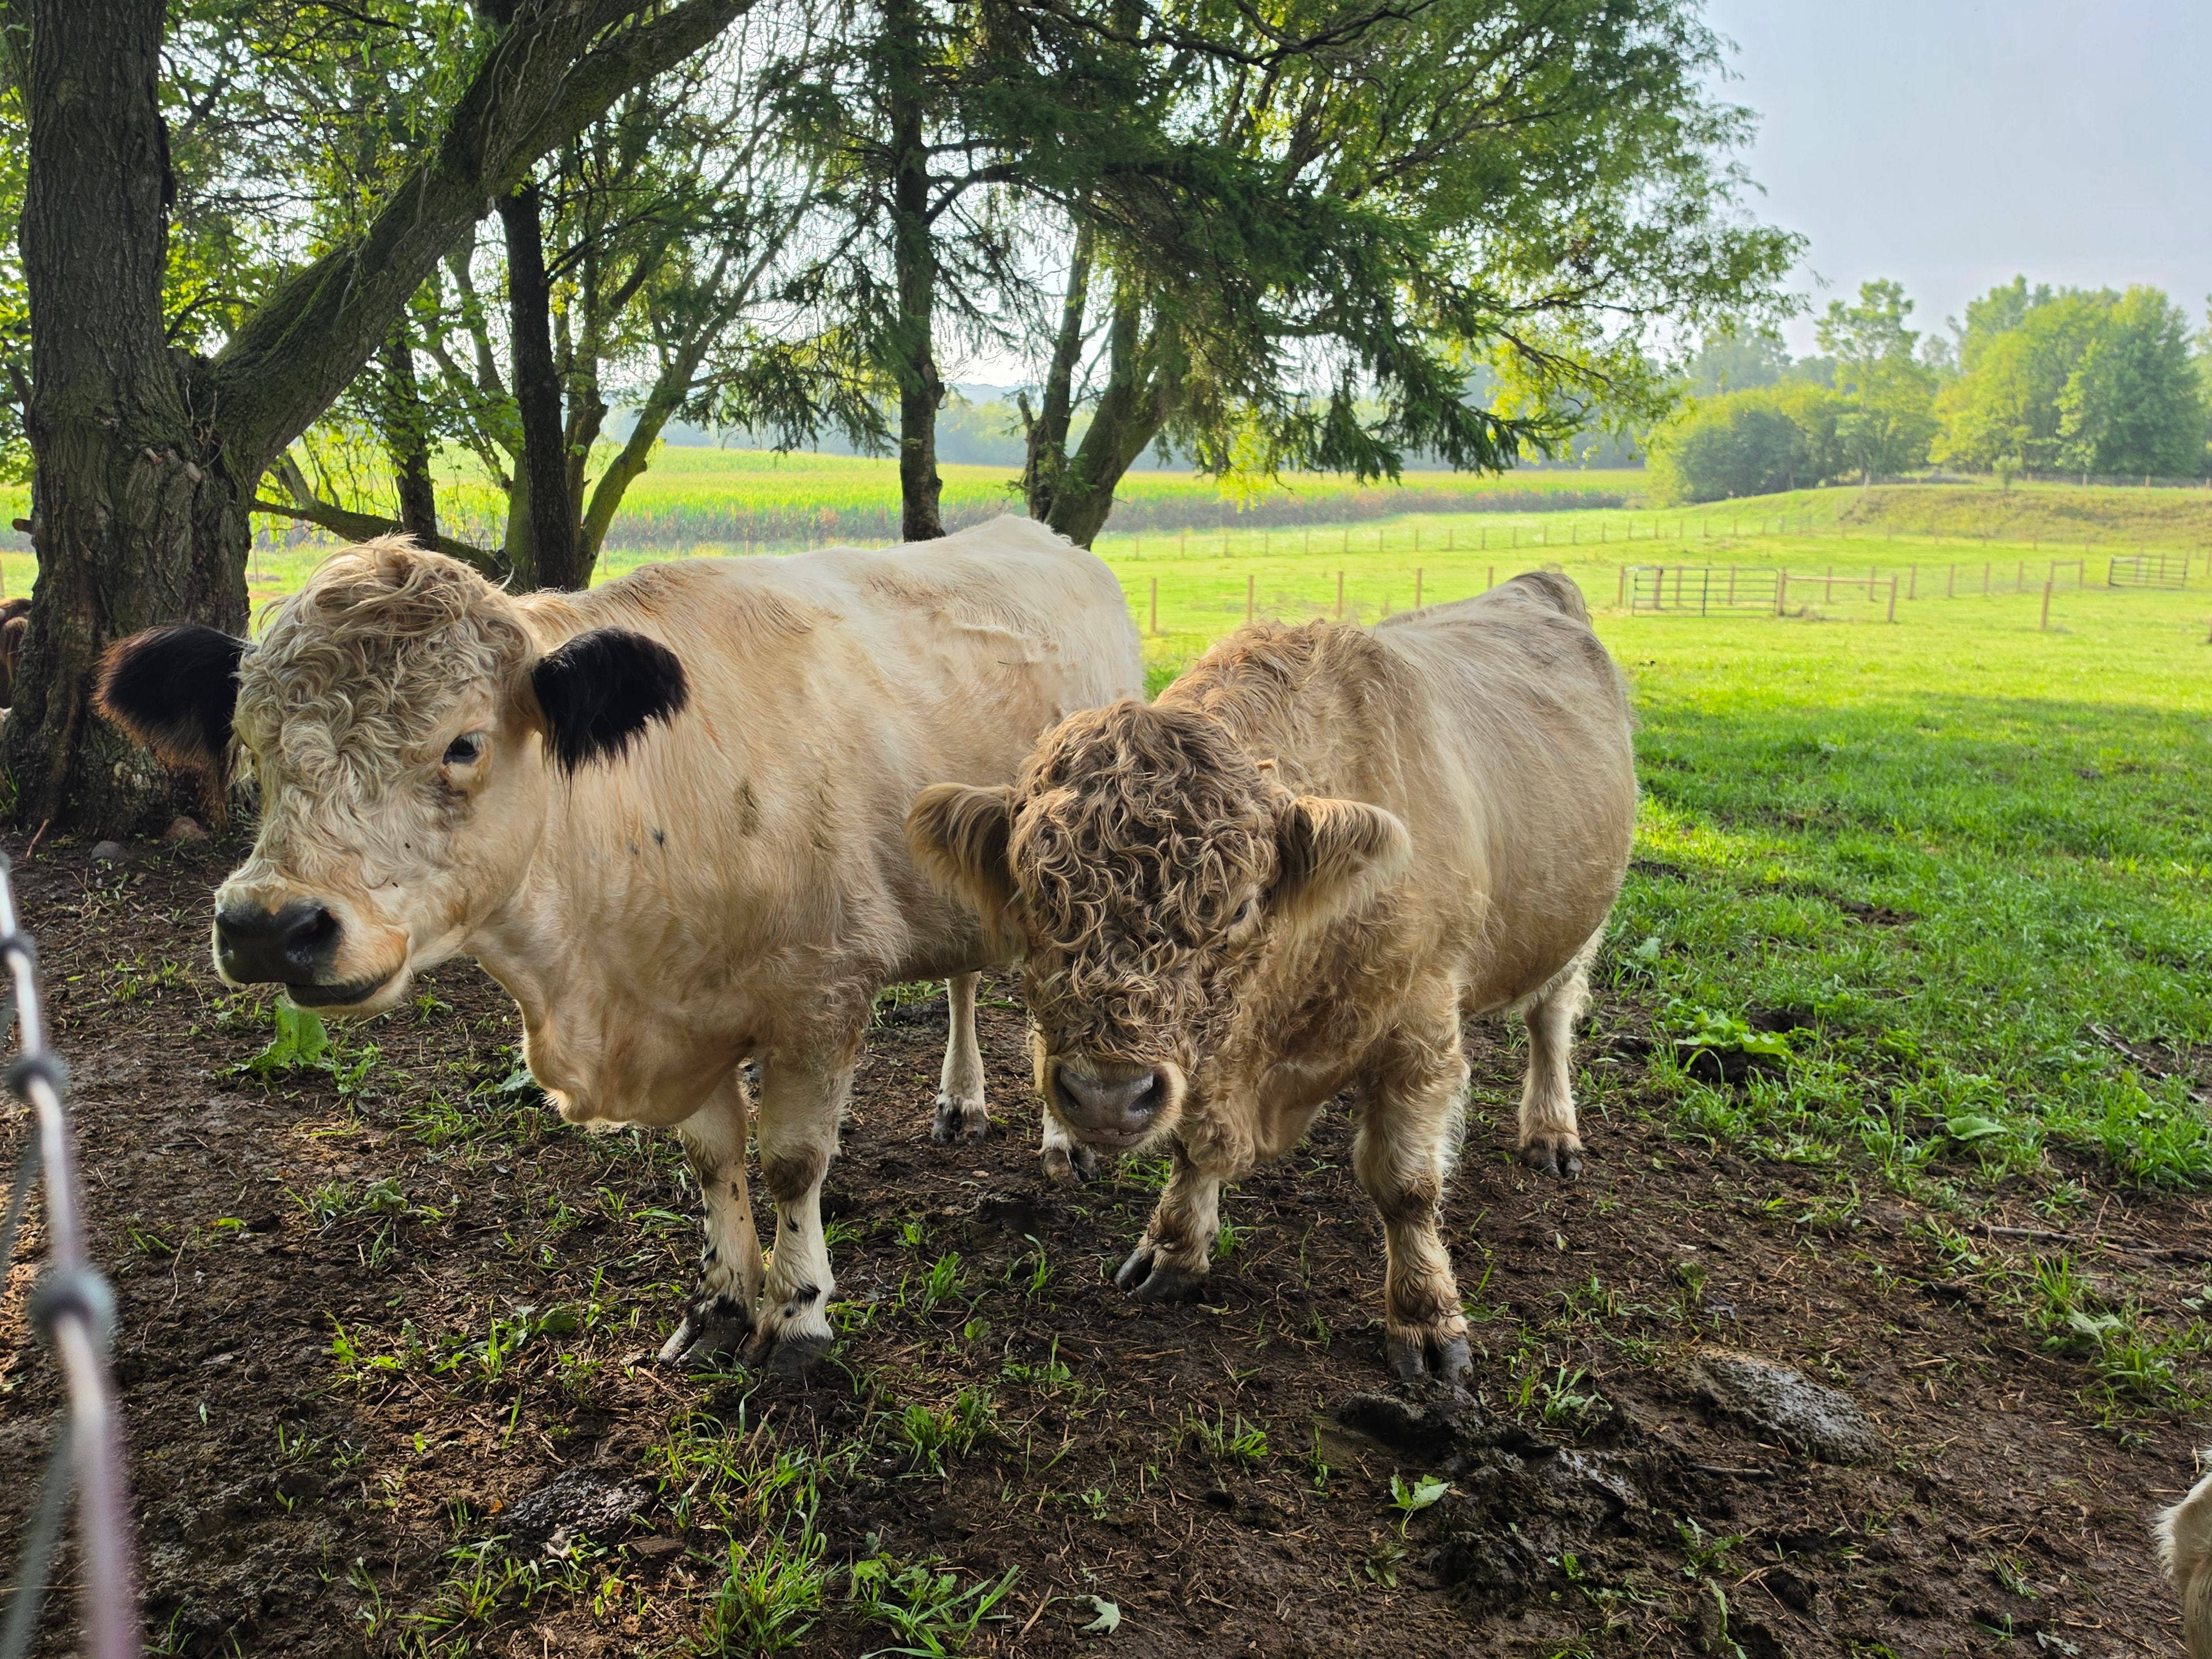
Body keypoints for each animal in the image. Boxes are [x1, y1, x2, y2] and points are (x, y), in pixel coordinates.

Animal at [96, 519, 1143, 1371]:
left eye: (464, 744)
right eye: (250, 738)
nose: (271, 926)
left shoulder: (821, 992)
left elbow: (793, 1160)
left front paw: (798, 1313)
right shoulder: (679, 1017)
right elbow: (714, 1157)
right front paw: (723, 1302)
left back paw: (1063, 1138)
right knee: (964, 981)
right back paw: (961, 1102)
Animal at [907, 572, 1636, 1381]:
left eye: (1241, 906)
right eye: (1034, 893)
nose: (1105, 1095)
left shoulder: (1418, 1031)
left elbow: (1407, 1185)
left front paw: (1424, 1319)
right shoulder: (1205, 1063)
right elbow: (1192, 1146)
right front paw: (1173, 1251)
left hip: (1576, 924)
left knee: (1551, 1020)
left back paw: (1552, 1134)